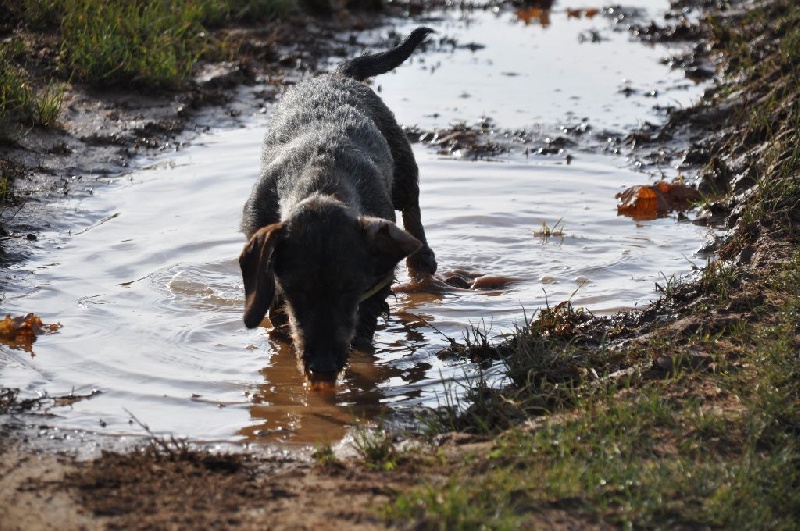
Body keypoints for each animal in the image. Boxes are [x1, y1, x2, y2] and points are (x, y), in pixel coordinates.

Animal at [239, 29, 438, 384]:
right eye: (296, 290)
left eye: (349, 290)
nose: (322, 367)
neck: (323, 181)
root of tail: (336, 75)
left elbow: (366, 318)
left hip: (402, 164)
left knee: (412, 208)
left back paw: (422, 259)